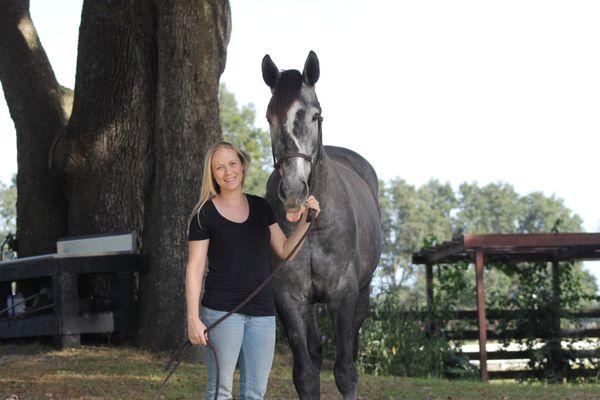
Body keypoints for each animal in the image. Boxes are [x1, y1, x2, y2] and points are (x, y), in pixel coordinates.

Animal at [264, 50, 384, 400]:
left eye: (315, 116)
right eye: (269, 117)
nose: (293, 191)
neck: (314, 225)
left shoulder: (343, 295)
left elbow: (344, 371)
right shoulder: (289, 297)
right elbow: (305, 373)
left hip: (363, 294)